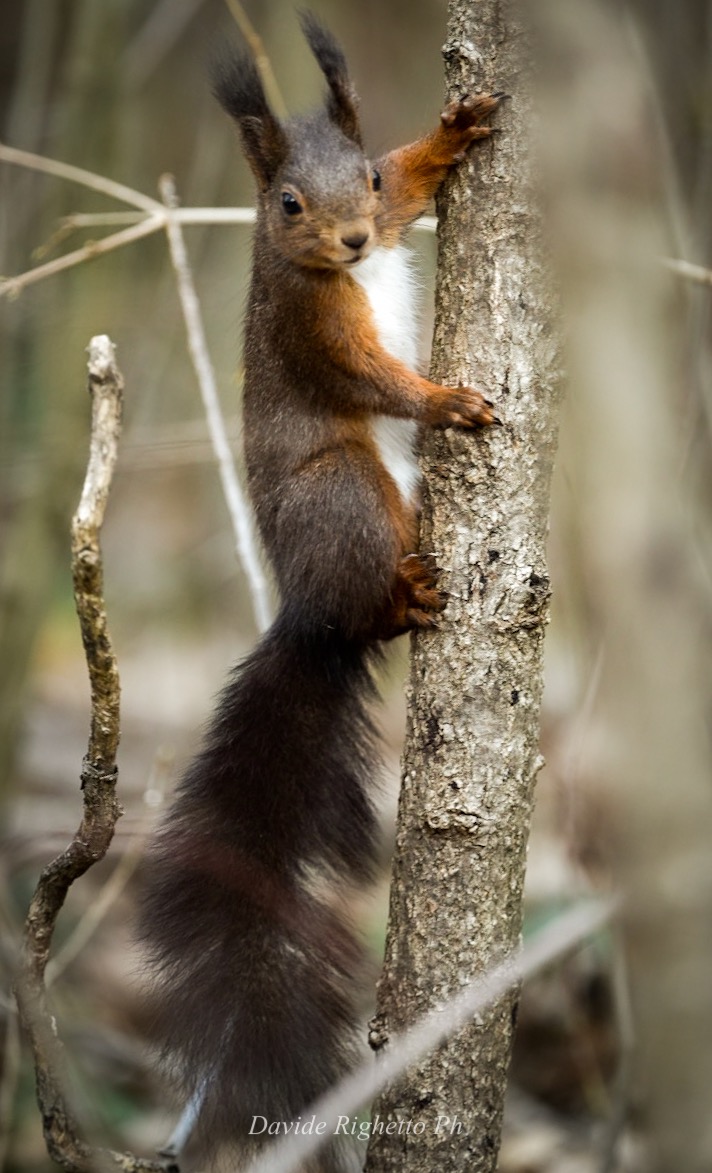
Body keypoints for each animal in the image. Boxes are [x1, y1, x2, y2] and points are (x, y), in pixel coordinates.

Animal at [138, 13, 503, 1171]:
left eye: (364, 176)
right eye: (288, 202)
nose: (349, 242)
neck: (331, 266)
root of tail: (308, 614)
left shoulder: (387, 216)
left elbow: (419, 184)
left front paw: (454, 130)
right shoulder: (312, 327)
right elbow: (370, 378)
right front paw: (444, 399)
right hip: (346, 494)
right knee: (371, 587)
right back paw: (407, 598)